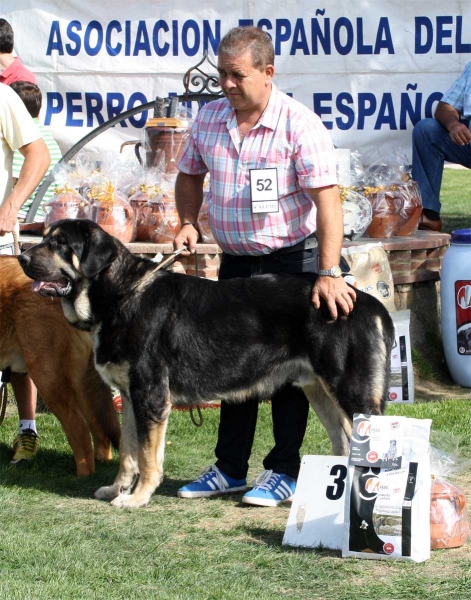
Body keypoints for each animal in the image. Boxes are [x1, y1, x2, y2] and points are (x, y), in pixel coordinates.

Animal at [17, 218, 394, 508]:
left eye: (60, 243)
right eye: (45, 238)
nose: (20, 255)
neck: (121, 294)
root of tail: (368, 302)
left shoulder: (151, 396)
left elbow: (147, 457)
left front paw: (137, 497)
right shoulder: (129, 397)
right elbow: (127, 452)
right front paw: (116, 489)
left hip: (352, 392)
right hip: (319, 391)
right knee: (344, 445)